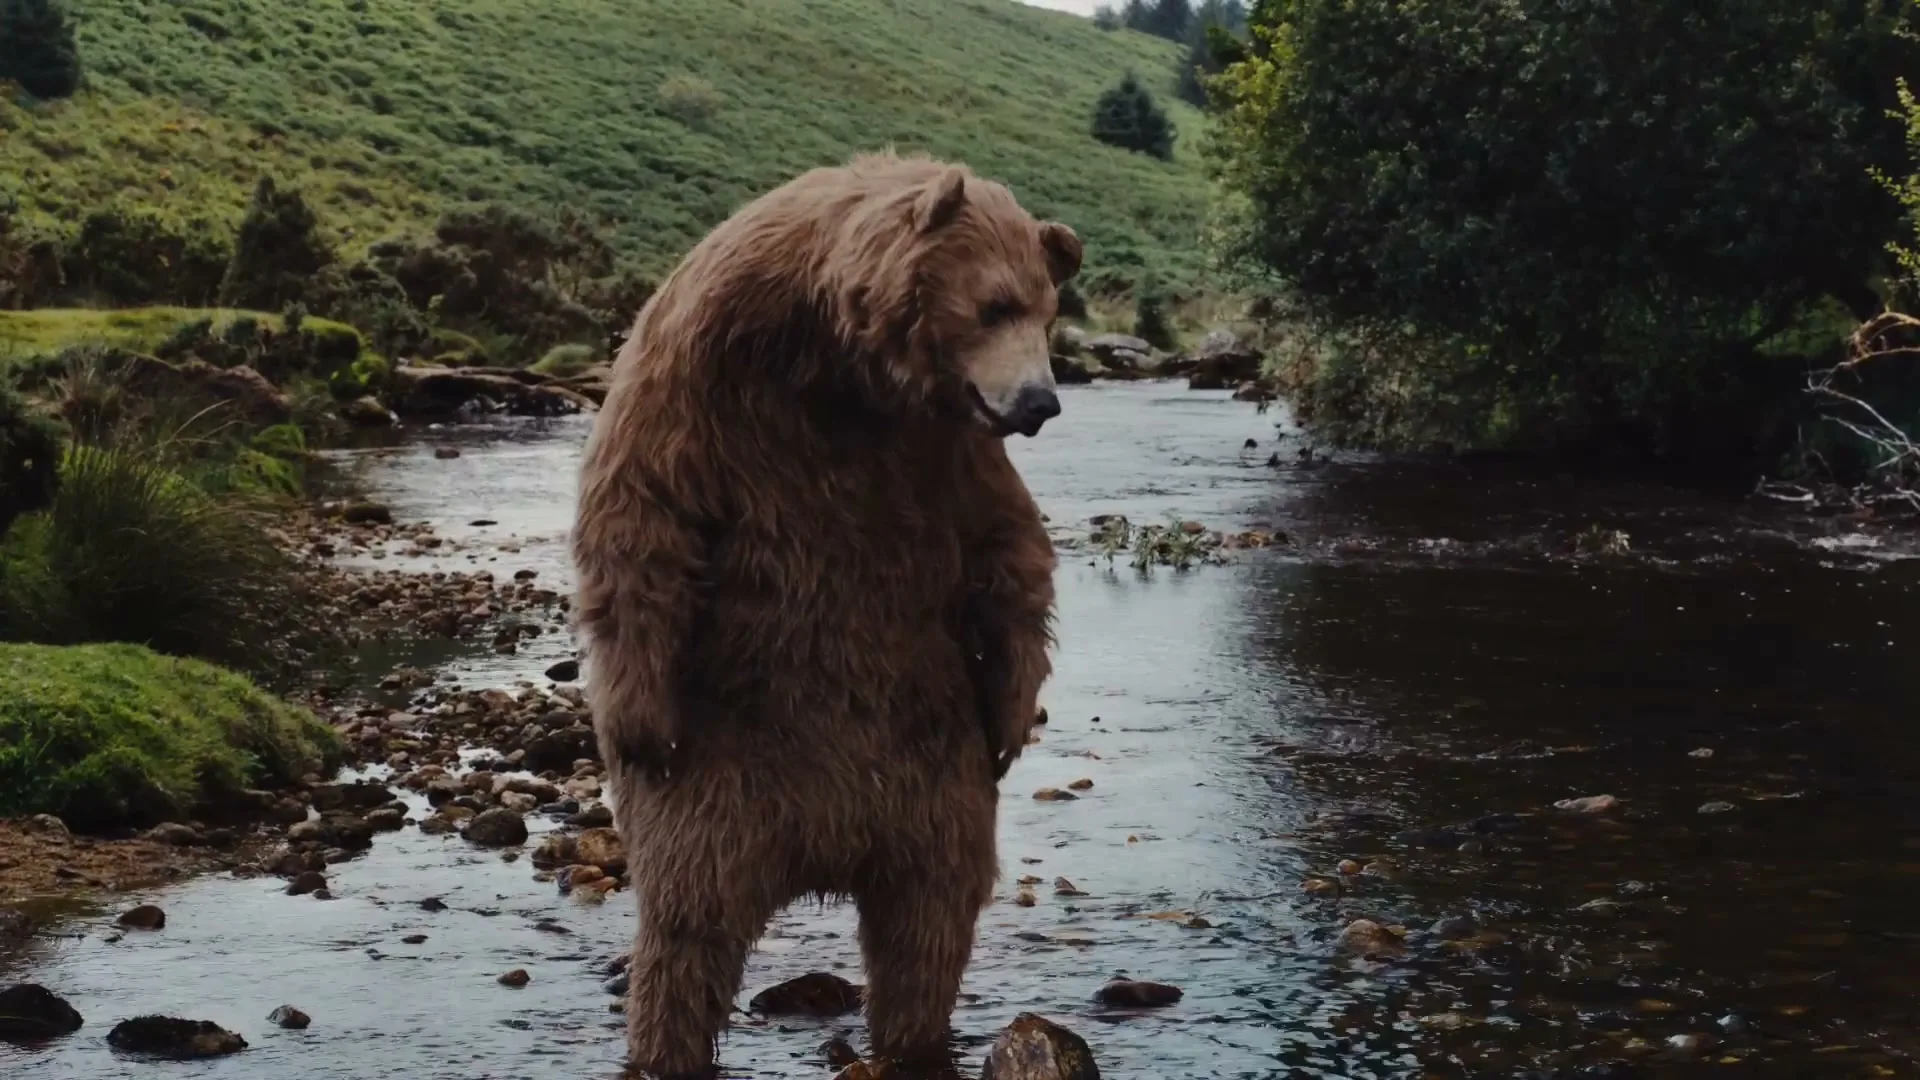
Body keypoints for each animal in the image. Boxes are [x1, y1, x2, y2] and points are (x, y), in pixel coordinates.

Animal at [570, 149, 1083, 1078]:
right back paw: (667, 1043)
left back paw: (914, 1033)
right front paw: (638, 720)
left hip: (931, 774)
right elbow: (642, 509)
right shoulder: (704, 372)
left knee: (931, 915)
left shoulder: (945, 448)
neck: (843, 364)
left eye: (1048, 309)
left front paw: (1012, 719)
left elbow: (1006, 549)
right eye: (995, 303)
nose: (1040, 402)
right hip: (725, 777)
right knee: (689, 925)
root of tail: (825, 846)